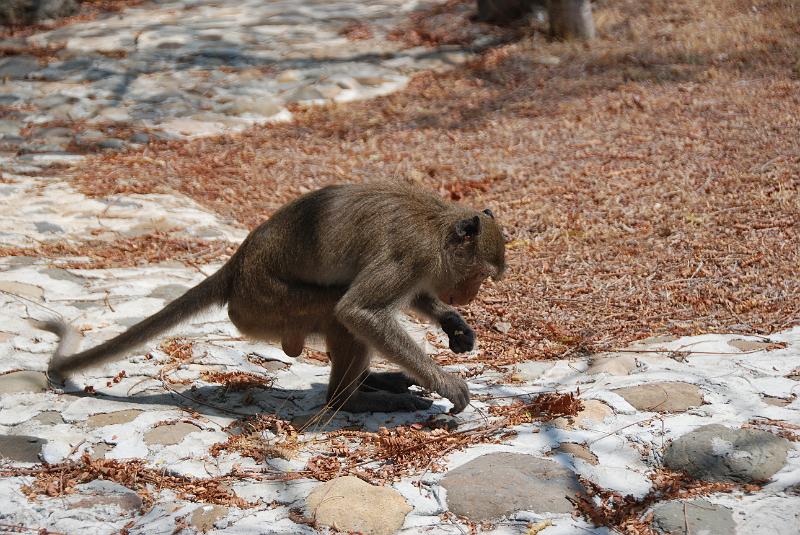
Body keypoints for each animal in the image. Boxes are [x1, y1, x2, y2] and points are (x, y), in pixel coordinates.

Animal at [34, 183, 506, 414]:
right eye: (480, 276)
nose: (470, 295)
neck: (437, 226)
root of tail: (238, 264)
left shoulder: (422, 269)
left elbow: (413, 298)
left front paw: (453, 325)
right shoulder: (412, 253)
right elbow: (360, 311)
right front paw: (447, 383)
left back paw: (373, 382)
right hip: (264, 307)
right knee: (337, 313)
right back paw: (351, 400)